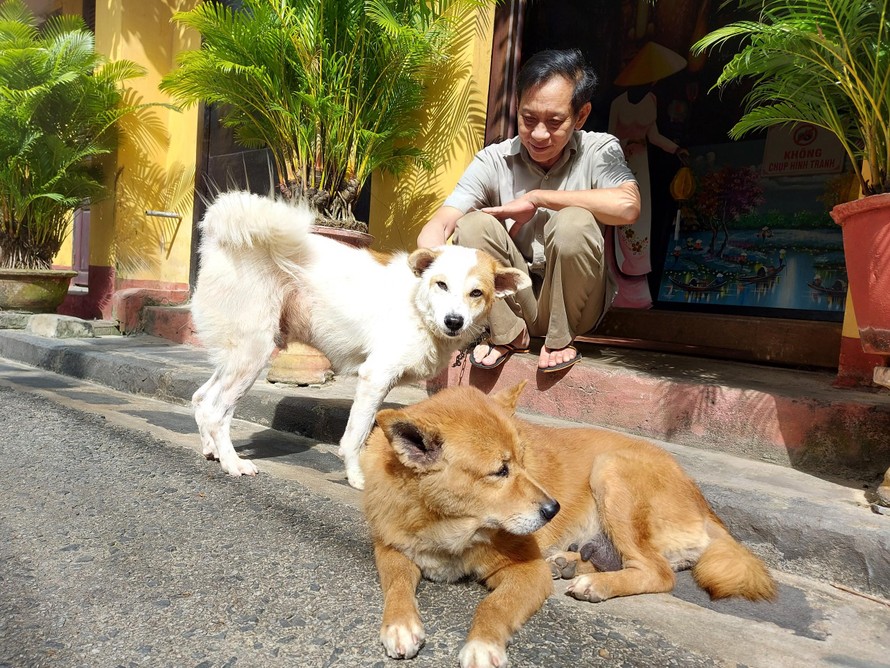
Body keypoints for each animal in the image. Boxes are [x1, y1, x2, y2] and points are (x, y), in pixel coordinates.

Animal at [191, 190, 528, 488]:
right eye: (441, 284)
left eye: (477, 293)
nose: (454, 322)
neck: (417, 305)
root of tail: (220, 234)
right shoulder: (375, 377)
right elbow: (356, 437)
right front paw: (356, 478)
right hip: (254, 353)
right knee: (215, 411)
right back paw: (233, 463)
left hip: (237, 356)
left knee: (201, 398)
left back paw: (212, 450)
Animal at [358, 380, 772, 668]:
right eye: (500, 471)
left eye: (523, 461)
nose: (553, 509)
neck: (445, 524)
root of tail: (702, 499)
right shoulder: (390, 548)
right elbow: (397, 585)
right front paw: (399, 625)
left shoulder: (526, 571)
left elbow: (493, 606)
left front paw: (481, 645)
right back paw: (570, 563)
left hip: (610, 469)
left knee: (658, 572)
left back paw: (595, 584)